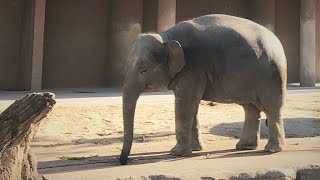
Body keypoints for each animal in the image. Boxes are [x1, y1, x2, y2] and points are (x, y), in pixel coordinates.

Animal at [119, 14, 286, 165]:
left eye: (143, 70)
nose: (122, 161)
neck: (165, 37)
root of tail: (278, 42)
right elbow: (192, 106)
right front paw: (195, 149)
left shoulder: (192, 68)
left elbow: (185, 105)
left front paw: (176, 153)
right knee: (250, 108)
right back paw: (244, 147)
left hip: (271, 76)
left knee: (272, 109)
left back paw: (271, 150)